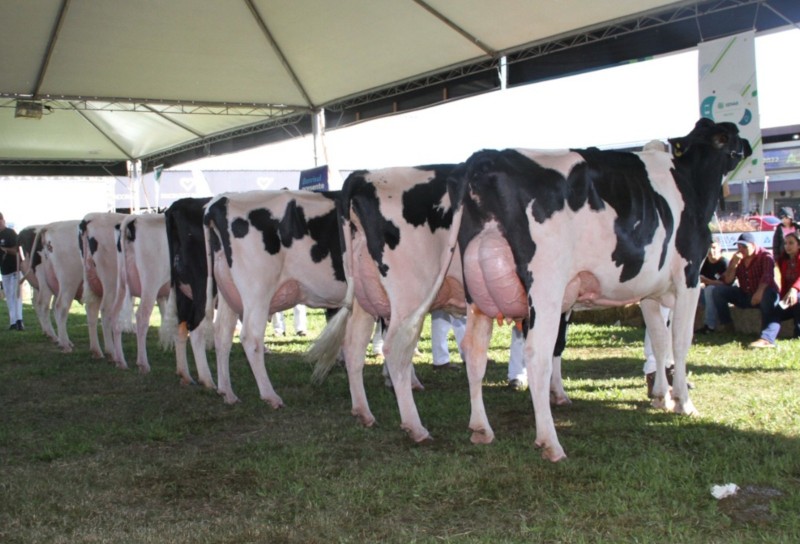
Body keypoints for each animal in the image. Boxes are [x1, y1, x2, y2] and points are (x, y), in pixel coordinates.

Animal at [450, 118, 752, 460]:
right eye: (729, 135)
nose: (748, 145)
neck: (689, 181)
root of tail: (487, 157)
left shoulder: (649, 292)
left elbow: (659, 340)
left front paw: (660, 396)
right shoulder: (689, 278)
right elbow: (680, 342)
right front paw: (683, 403)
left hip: (478, 294)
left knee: (475, 353)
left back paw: (481, 428)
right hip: (545, 288)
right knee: (536, 355)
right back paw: (550, 442)